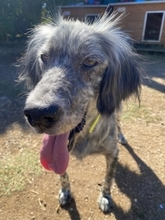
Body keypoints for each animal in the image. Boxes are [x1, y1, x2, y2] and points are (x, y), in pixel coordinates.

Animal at [17, 12, 142, 212]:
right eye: (44, 57)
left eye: (90, 62)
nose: (37, 114)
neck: (85, 136)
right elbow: (63, 175)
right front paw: (65, 192)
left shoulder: (113, 153)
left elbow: (108, 179)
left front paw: (105, 197)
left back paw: (122, 136)